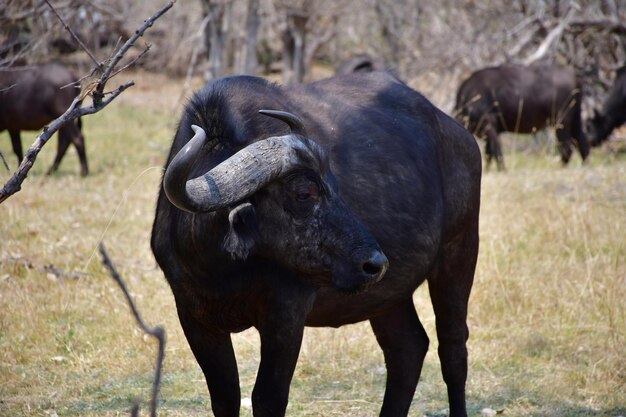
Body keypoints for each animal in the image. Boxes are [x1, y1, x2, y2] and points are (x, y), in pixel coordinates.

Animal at [152, 71, 482, 416]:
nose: (375, 264)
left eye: (333, 185)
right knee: (407, 349)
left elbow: (268, 397)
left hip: (459, 253)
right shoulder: (195, 318)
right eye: (304, 193)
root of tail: (458, 134)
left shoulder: (286, 317)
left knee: (453, 349)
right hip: (387, 296)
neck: (222, 268)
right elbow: (225, 396)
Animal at [450, 62, 588, 170]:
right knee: (583, 143)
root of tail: (574, 77)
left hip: (561, 122)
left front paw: (502, 170)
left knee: (567, 147)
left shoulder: (489, 125)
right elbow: (489, 153)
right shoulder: (491, 131)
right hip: (575, 120)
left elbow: (496, 150)